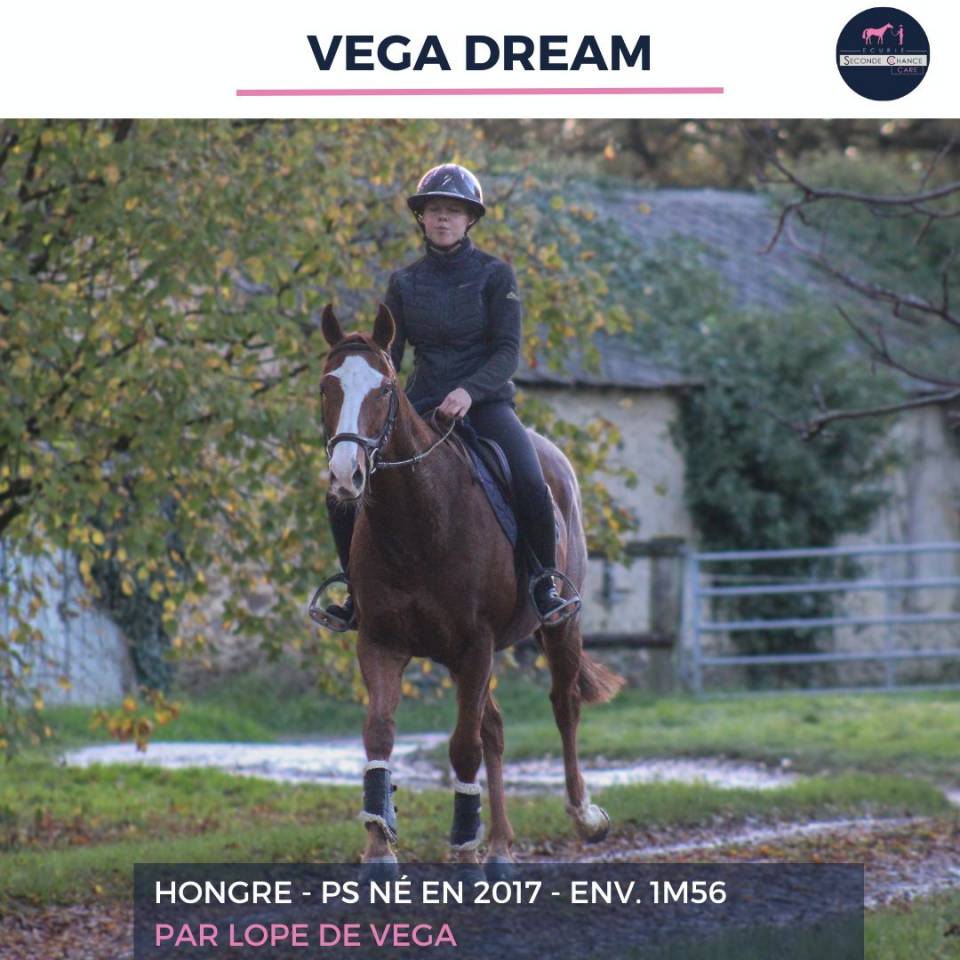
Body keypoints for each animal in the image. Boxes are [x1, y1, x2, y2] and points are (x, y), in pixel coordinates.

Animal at [315, 303, 624, 879]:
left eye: (385, 389)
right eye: (327, 386)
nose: (347, 476)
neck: (418, 521)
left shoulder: (475, 645)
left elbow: (462, 748)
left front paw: (461, 847)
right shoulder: (381, 642)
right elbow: (380, 733)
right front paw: (380, 848)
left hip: (557, 628)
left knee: (563, 705)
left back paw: (582, 815)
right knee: (495, 729)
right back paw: (500, 847)